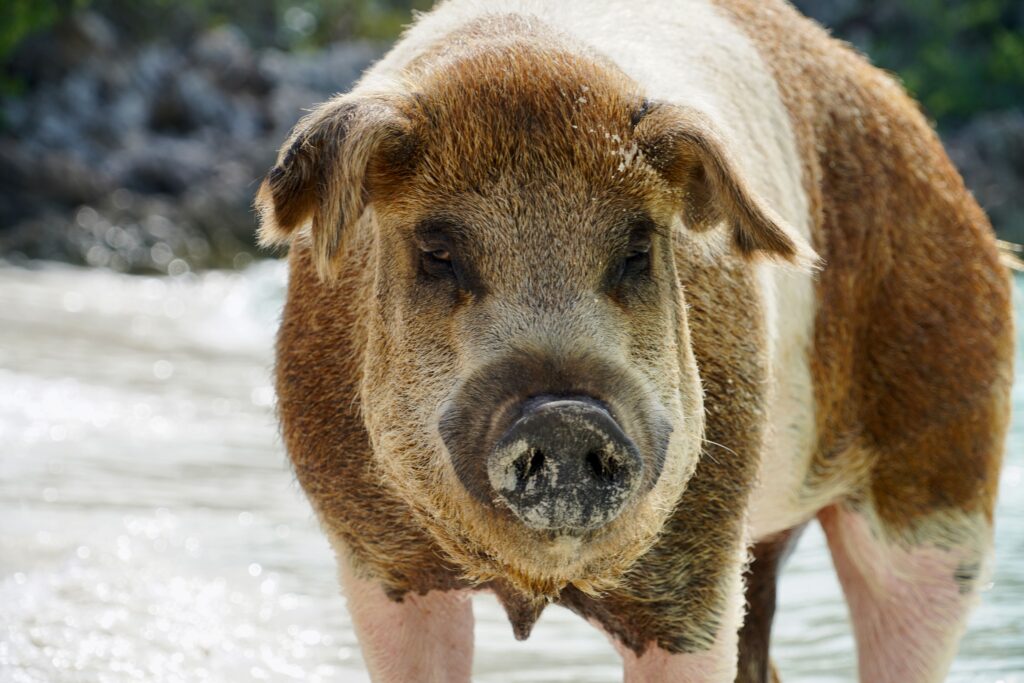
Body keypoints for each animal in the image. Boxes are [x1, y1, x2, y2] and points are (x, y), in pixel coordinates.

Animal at [254, 1, 1014, 681]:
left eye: (637, 250)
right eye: (437, 252)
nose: (564, 414)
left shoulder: (700, 573)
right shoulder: (379, 561)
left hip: (946, 470)